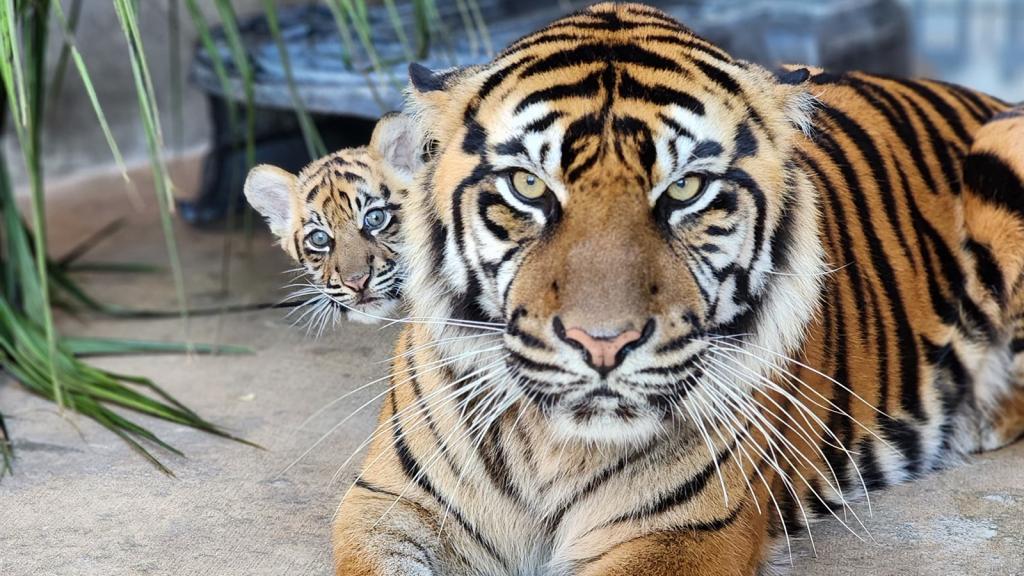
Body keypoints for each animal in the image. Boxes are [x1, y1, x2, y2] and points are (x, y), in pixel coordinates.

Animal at [331, 3, 1019, 569]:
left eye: (685, 189)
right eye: (528, 185)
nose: (602, 344)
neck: (554, 446)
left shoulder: (681, 531)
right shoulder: (392, 502)